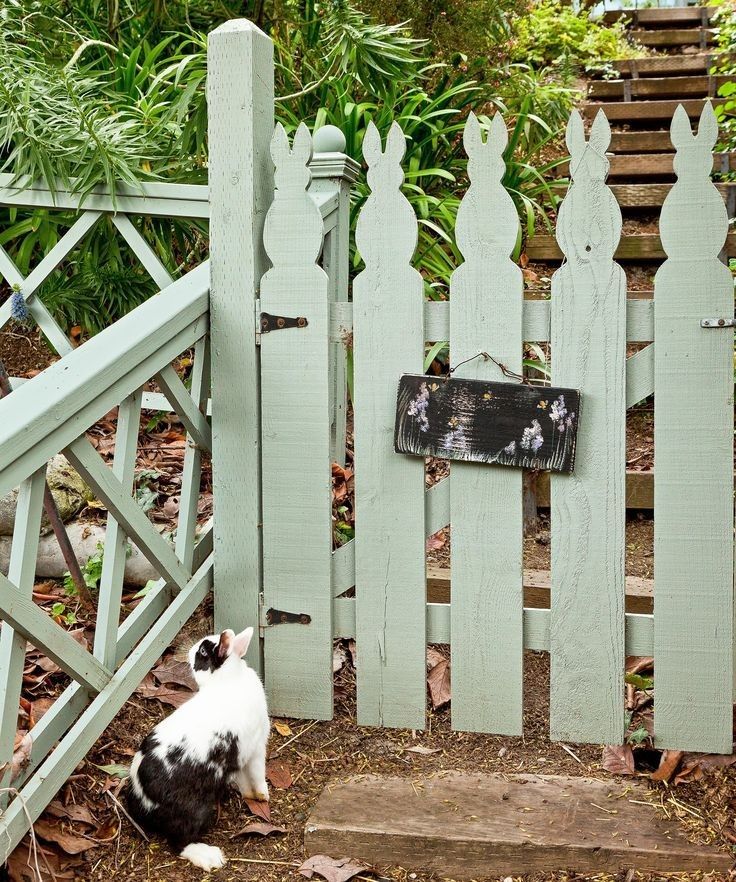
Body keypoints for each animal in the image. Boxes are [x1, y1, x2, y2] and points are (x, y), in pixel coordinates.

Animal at [127, 624, 270, 868]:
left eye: (203, 652)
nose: (192, 648)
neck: (228, 680)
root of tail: (142, 793)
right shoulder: (256, 748)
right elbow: (258, 775)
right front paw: (263, 796)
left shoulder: (241, 756)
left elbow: (245, 779)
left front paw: (250, 796)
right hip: (193, 812)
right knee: (179, 843)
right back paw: (210, 857)